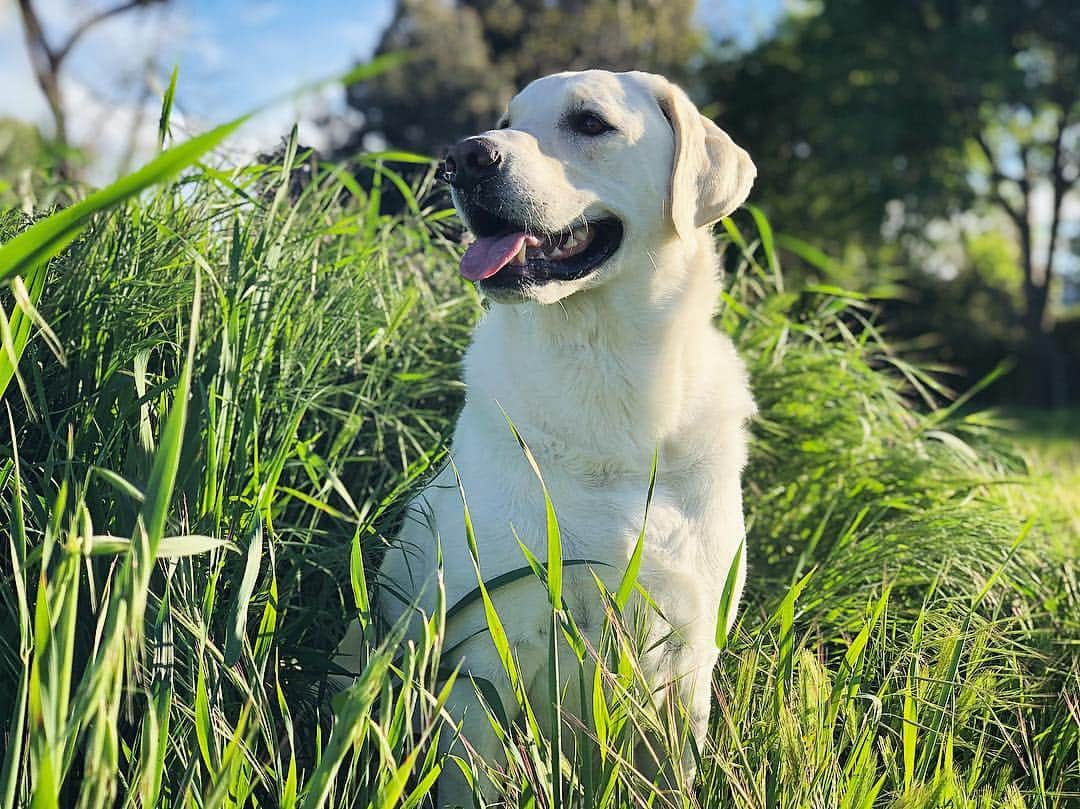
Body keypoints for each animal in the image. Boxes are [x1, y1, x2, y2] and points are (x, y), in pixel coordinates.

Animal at [362, 70, 751, 807]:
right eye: (505, 120)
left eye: (590, 122)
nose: (463, 159)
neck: (605, 372)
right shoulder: (485, 651)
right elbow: (473, 779)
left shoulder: (688, 657)